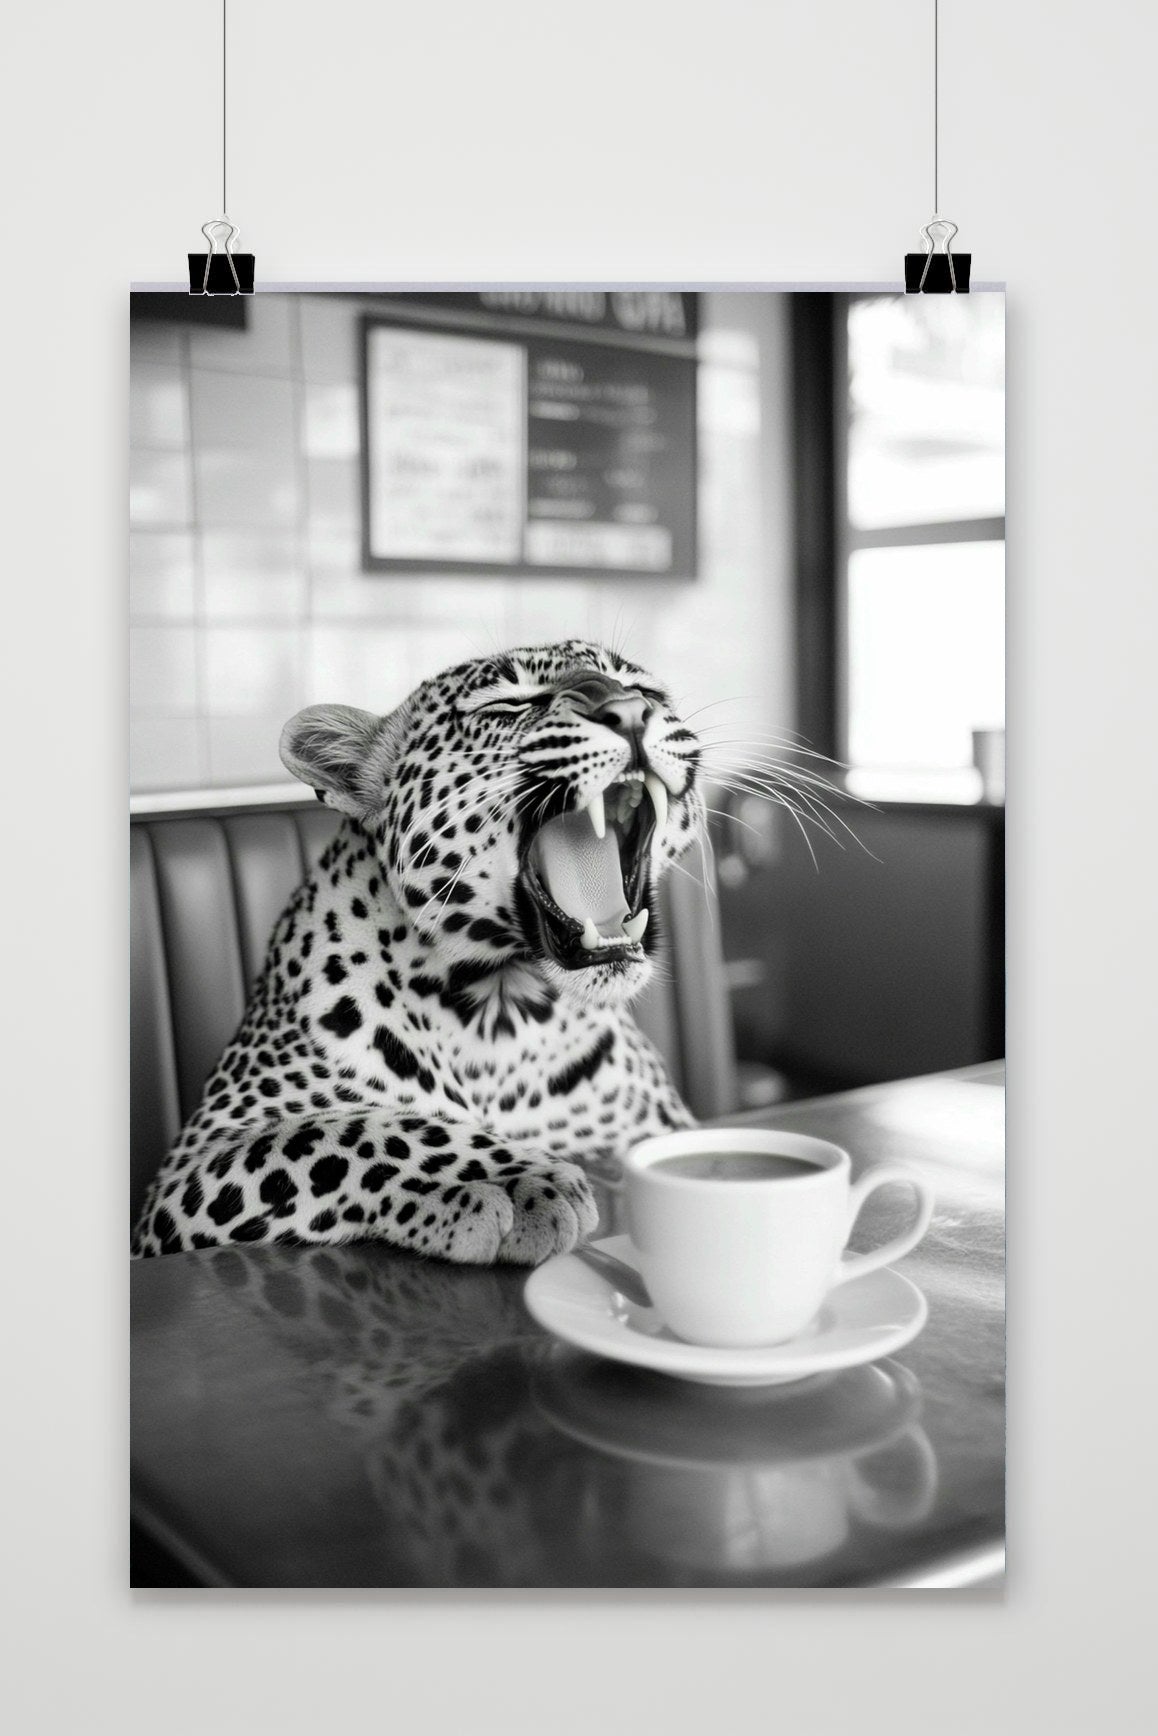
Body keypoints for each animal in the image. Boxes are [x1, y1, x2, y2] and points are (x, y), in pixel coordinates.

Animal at [131, 638, 704, 1264]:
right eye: (508, 704)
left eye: (644, 690)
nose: (630, 713)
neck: (503, 1010)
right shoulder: (195, 1161)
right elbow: (346, 1129)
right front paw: (512, 1178)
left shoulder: (659, 1129)